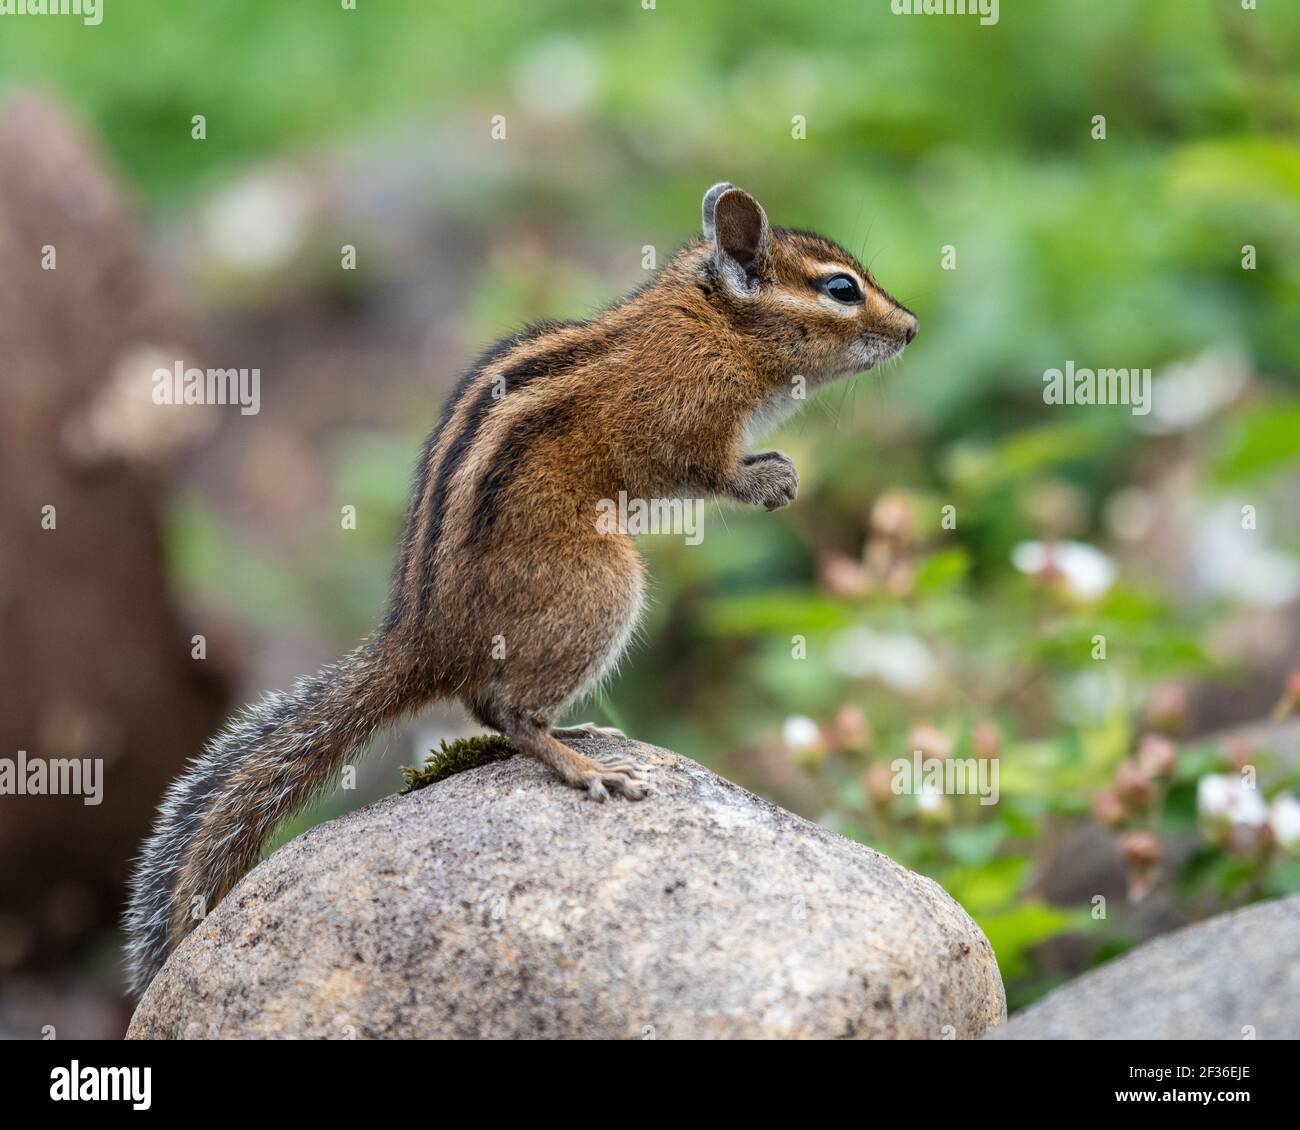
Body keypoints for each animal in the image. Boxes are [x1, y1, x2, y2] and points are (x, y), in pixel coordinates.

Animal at [123, 183, 917, 995]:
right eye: (841, 290)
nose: (913, 327)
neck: (715, 324)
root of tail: (418, 638)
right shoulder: (685, 422)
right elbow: (708, 470)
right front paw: (769, 481)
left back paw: (581, 732)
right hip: (603, 586)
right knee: (505, 712)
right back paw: (586, 768)